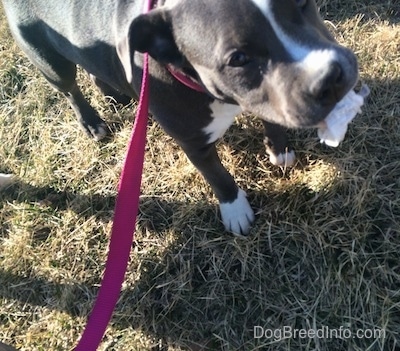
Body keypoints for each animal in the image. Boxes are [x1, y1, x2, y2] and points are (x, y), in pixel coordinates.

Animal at [1, 0, 360, 236]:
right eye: (238, 58)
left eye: (302, 3)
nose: (330, 76)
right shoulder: (193, 142)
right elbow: (218, 176)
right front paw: (235, 210)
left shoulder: (267, 100)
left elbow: (272, 119)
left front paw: (280, 149)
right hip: (48, 59)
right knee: (69, 87)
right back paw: (91, 121)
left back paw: (114, 94)